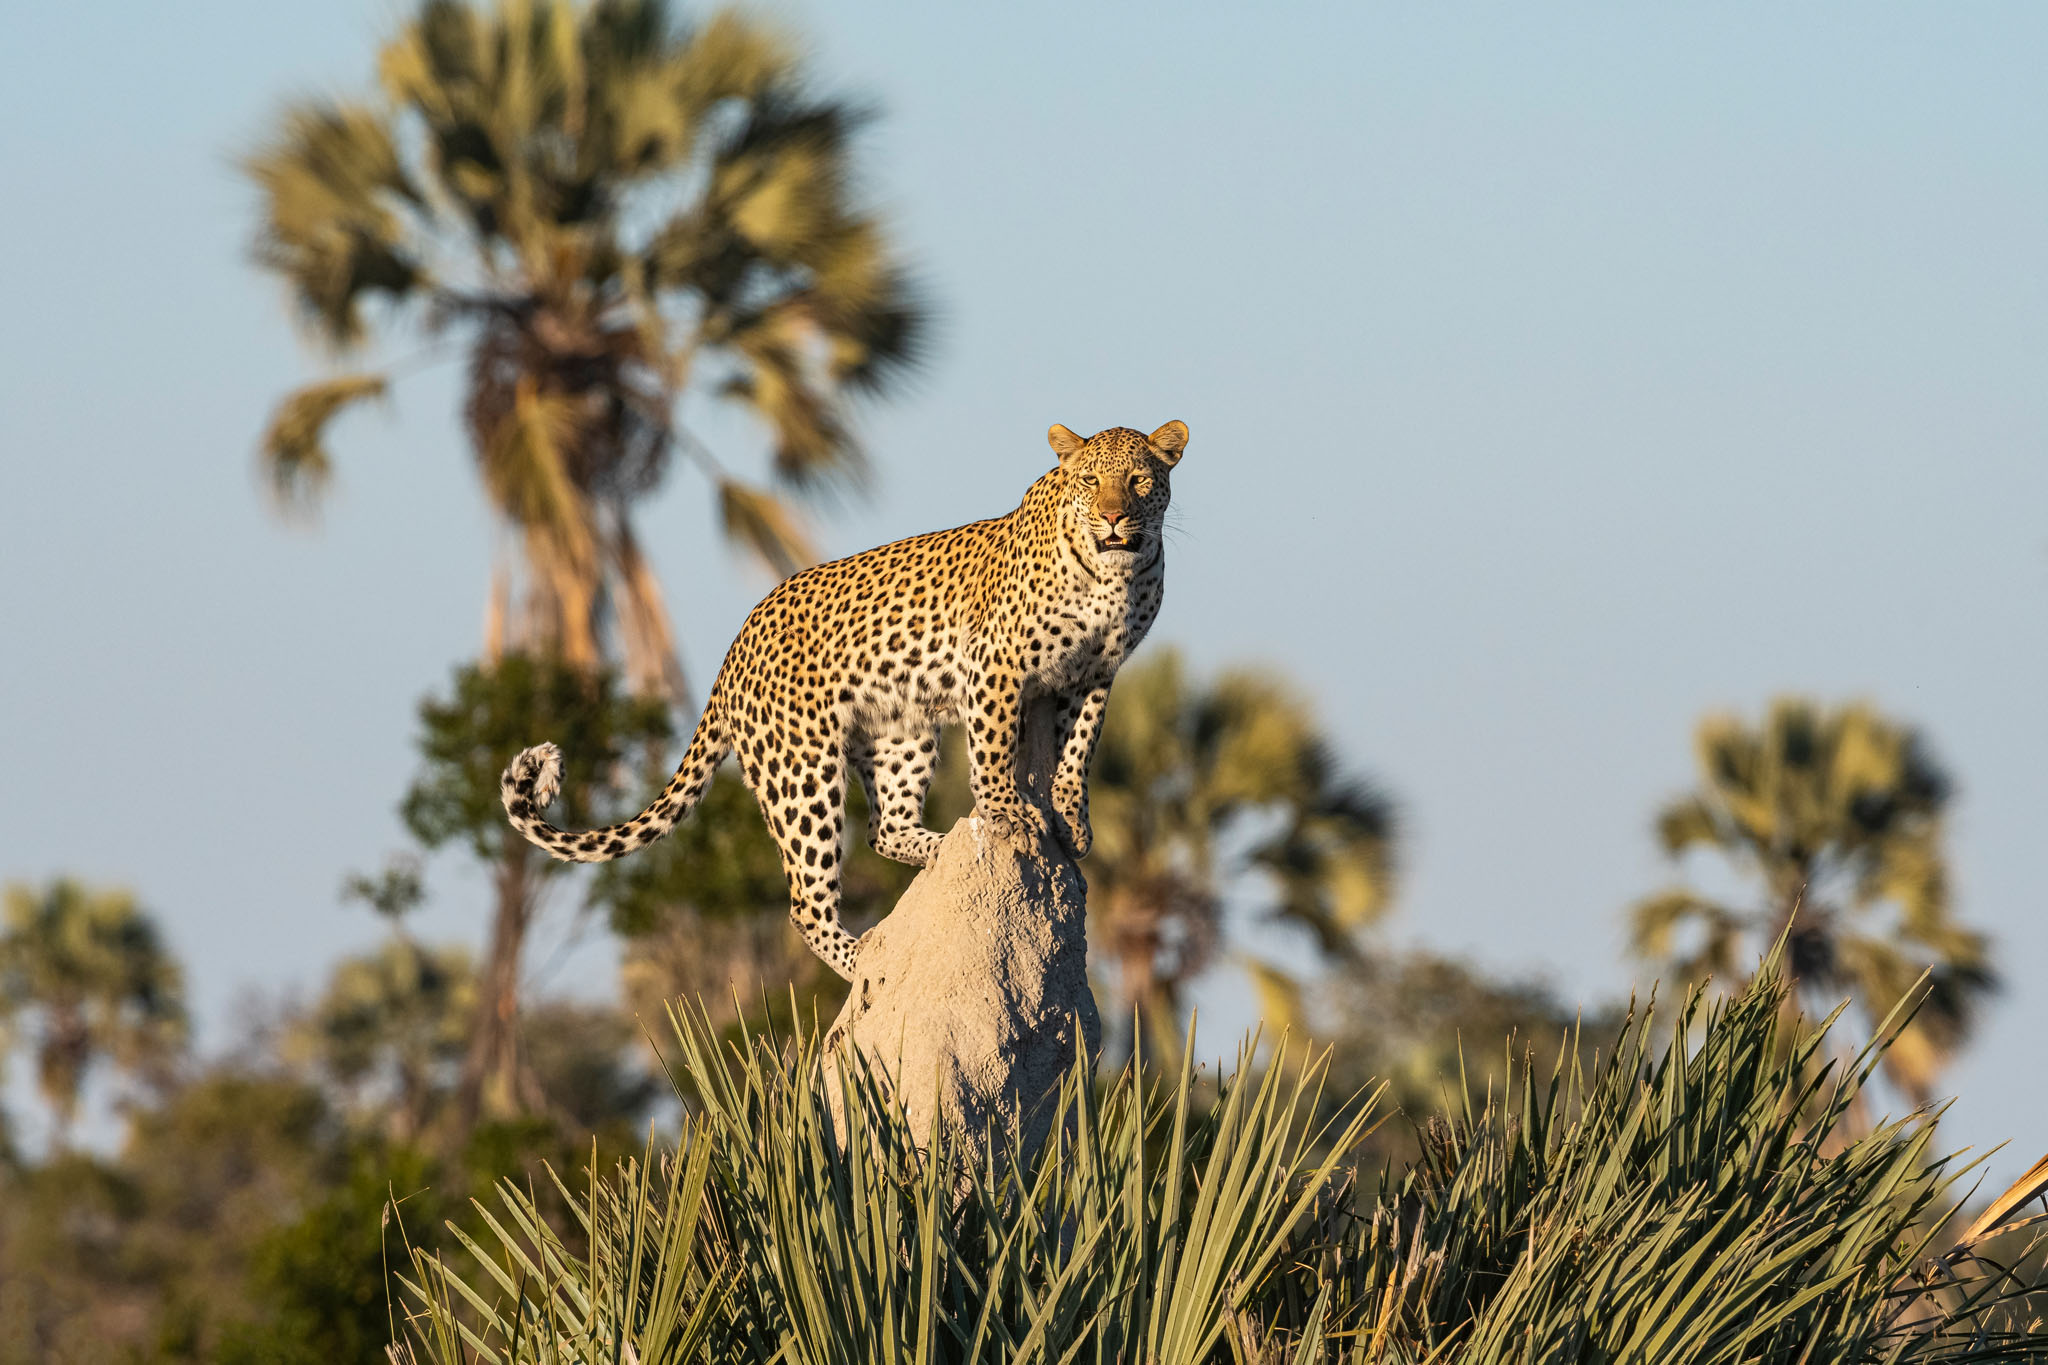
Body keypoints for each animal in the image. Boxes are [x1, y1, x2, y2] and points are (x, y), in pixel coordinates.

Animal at [501, 419, 1196, 982]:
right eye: (1090, 480)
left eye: (1139, 481)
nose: (1114, 518)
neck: (1113, 577)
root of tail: (730, 658)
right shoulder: (997, 667)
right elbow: (997, 751)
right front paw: (1009, 815)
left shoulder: (1091, 678)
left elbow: (1075, 754)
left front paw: (1069, 822)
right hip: (801, 773)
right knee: (805, 901)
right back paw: (866, 960)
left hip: (901, 734)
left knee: (883, 829)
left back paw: (938, 854)